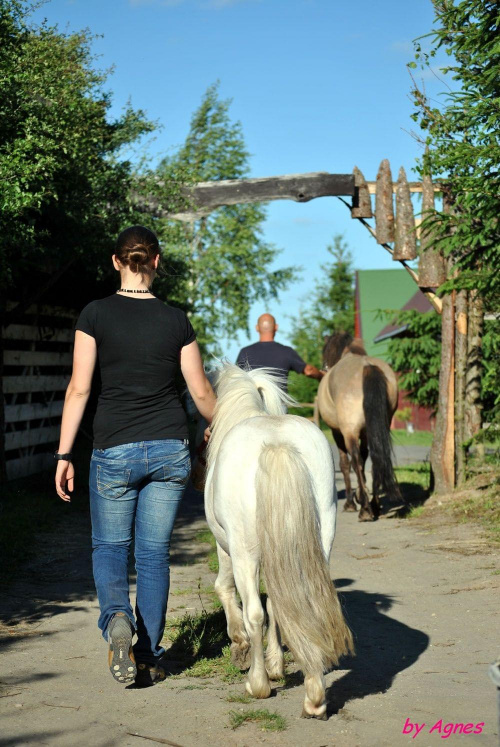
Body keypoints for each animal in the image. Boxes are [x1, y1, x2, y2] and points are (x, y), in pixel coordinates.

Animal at [205, 366, 354, 720]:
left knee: (254, 613)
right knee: (297, 605)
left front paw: (240, 646)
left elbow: (225, 590)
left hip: (244, 551)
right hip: (318, 541)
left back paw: (258, 684)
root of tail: (277, 443)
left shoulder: (226, 547)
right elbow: (276, 604)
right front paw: (277, 665)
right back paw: (314, 697)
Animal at [316, 334, 402, 520]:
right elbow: (364, 459)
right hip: (378, 428)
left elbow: (346, 464)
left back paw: (365, 509)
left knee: (354, 460)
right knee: (376, 460)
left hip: (349, 432)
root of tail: (367, 366)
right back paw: (374, 505)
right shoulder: (365, 434)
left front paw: (351, 502)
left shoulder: (338, 433)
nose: (324, 368)